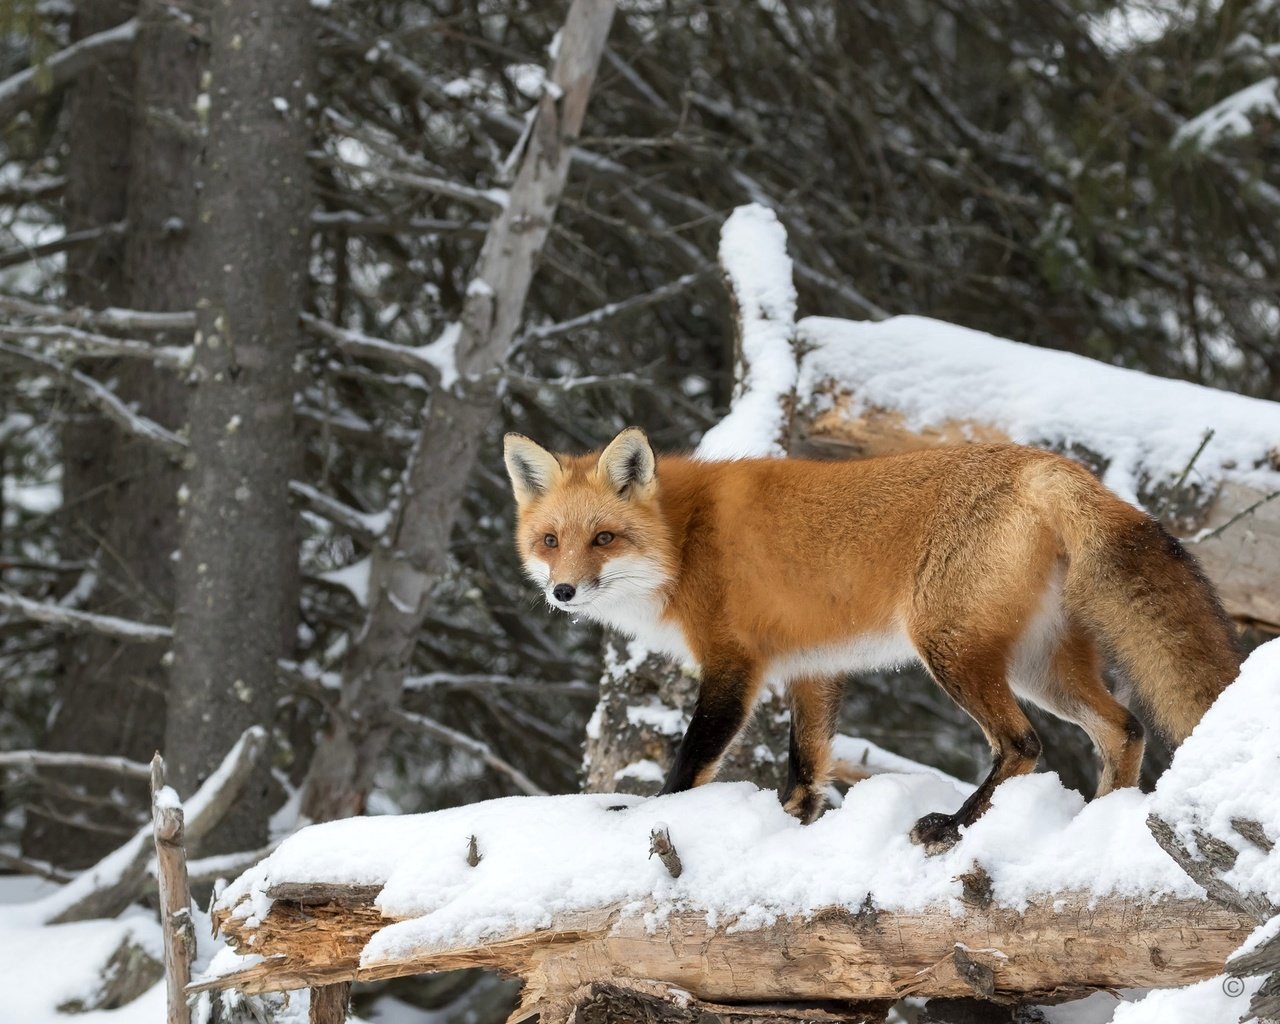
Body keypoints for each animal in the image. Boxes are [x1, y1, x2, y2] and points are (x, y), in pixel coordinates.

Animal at [501, 427, 1239, 849]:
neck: (686, 540)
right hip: (1039, 666)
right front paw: (794, 830)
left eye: (604, 538)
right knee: (1123, 729)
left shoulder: (734, 665)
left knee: (1023, 744)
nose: (563, 592)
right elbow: (806, 768)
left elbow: (689, 764)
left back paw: (955, 824)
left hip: (950, 649)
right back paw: (1098, 825)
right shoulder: (811, 667)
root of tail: (1049, 465)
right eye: (550, 542)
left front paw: (646, 820)